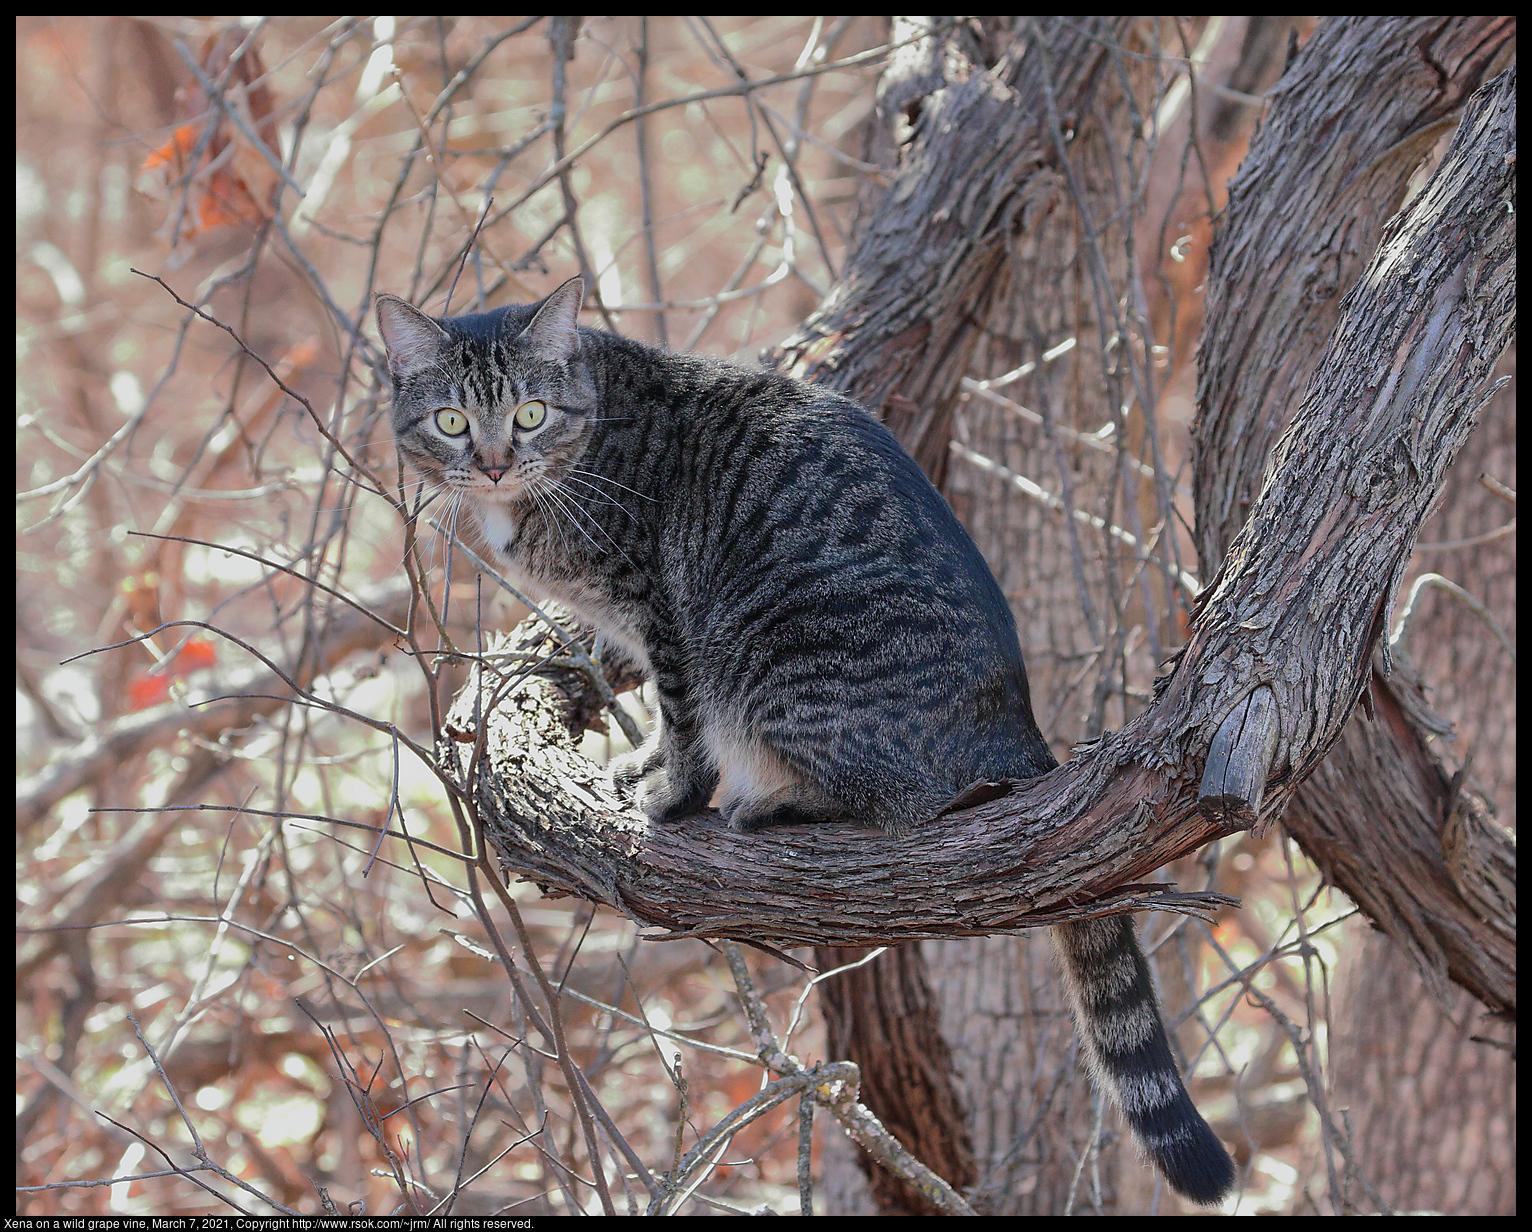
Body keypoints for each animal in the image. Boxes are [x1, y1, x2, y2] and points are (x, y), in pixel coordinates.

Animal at [376, 277, 1237, 1201]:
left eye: (530, 413)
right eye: (453, 421)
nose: (495, 461)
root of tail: (1020, 731)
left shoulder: (661, 612)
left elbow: (684, 721)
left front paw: (671, 795)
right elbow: (663, 722)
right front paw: (642, 763)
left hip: (775, 666)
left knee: (894, 800)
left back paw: (771, 803)